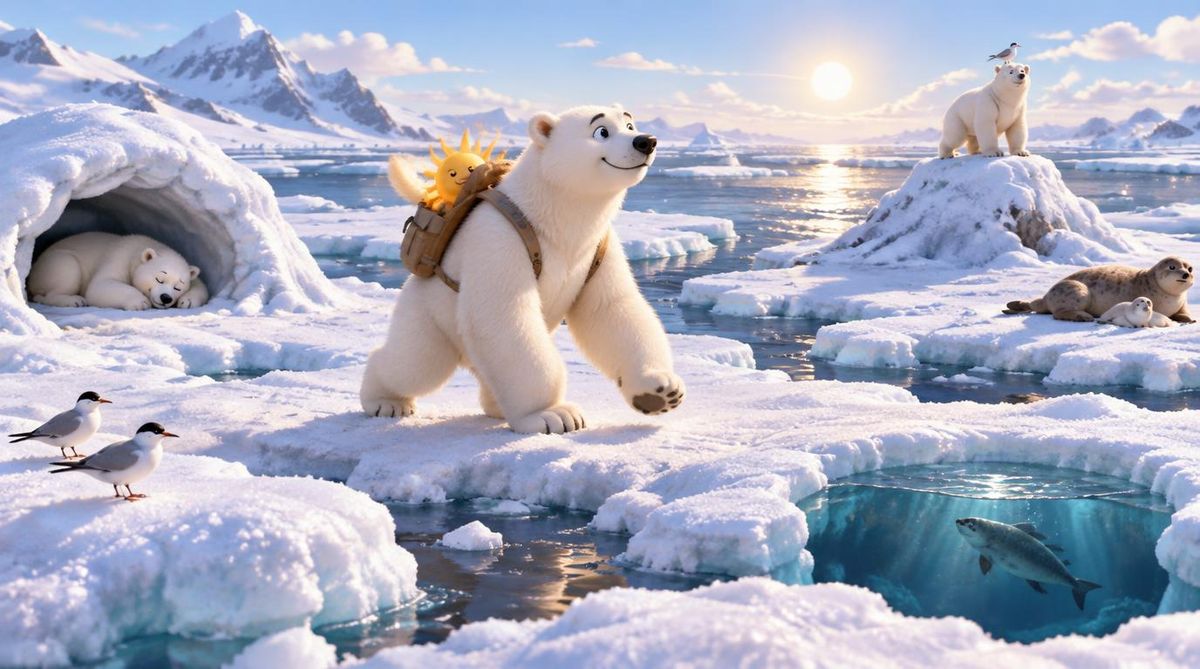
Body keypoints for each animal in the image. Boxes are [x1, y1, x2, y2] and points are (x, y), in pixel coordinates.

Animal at [27, 232, 209, 311]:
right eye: (159, 279)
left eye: (178, 287)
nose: (166, 298)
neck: (139, 248)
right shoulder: (119, 258)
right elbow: (101, 285)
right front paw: (140, 302)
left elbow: (200, 283)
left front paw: (188, 301)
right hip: (54, 263)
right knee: (67, 270)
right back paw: (73, 300)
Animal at [360, 104, 685, 434]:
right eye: (602, 131)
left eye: (630, 125)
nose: (646, 141)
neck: (553, 217)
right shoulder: (500, 235)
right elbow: (505, 314)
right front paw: (553, 414)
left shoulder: (598, 248)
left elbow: (610, 309)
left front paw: (659, 391)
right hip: (430, 315)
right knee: (416, 363)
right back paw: (387, 401)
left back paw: (497, 407)